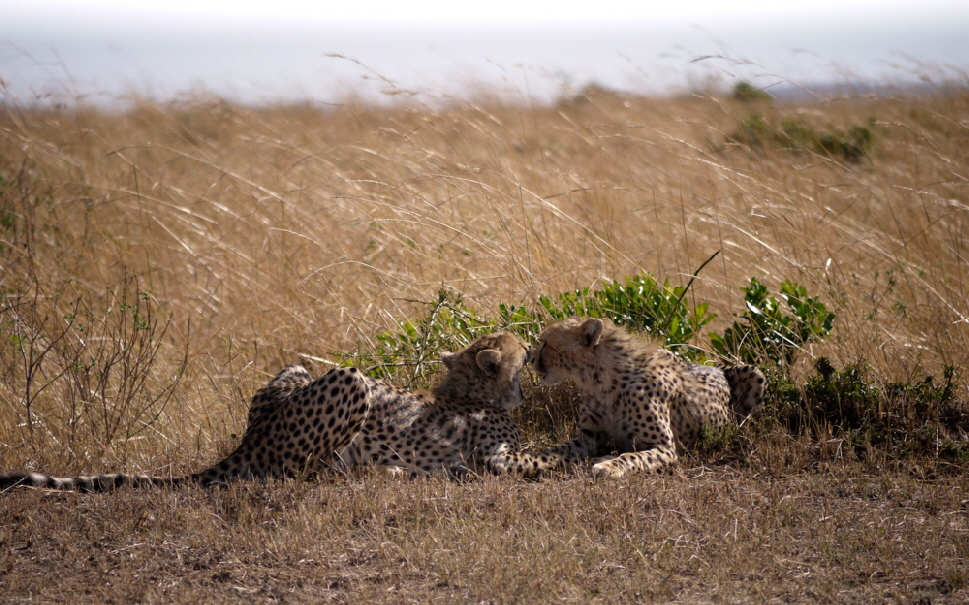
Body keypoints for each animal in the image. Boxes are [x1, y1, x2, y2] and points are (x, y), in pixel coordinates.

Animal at [0, 330, 556, 490]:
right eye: (523, 349)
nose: (534, 345)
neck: (473, 391)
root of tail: (253, 435)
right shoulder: (495, 457)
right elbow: (544, 458)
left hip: (295, 371)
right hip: (350, 380)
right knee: (301, 472)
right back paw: (388, 472)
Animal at [528, 318, 764, 478]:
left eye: (545, 343)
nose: (530, 359)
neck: (599, 381)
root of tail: (715, 367)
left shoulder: (665, 448)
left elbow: (633, 456)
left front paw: (609, 466)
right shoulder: (587, 440)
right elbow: (554, 450)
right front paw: (529, 460)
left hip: (755, 374)